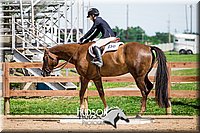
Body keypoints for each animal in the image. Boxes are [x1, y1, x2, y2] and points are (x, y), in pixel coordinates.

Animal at [41, 42, 170, 115]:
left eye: (44, 58)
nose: (43, 73)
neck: (78, 53)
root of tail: (148, 47)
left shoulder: (85, 78)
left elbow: (81, 93)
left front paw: (81, 111)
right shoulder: (96, 78)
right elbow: (101, 93)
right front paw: (106, 110)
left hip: (138, 77)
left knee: (144, 91)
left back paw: (141, 112)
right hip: (144, 76)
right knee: (149, 87)